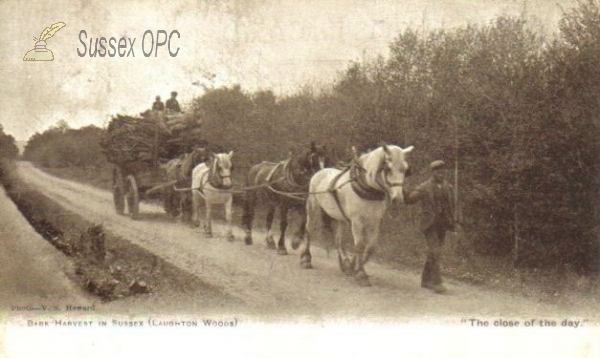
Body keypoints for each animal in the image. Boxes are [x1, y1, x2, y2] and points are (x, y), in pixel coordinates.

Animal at [296, 144, 412, 286]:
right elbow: (360, 245)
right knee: (309, 229)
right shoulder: (357, 221)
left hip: (340, 217)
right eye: (388, 168)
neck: (367, 188)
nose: (398, 199)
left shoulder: (375, 222)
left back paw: (344, 262)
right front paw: (361, 274)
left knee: (338, 239)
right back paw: (306, 259)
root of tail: (321, 171)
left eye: (405, 169)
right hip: (313, 206)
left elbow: (370, 247)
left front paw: (352, 266)